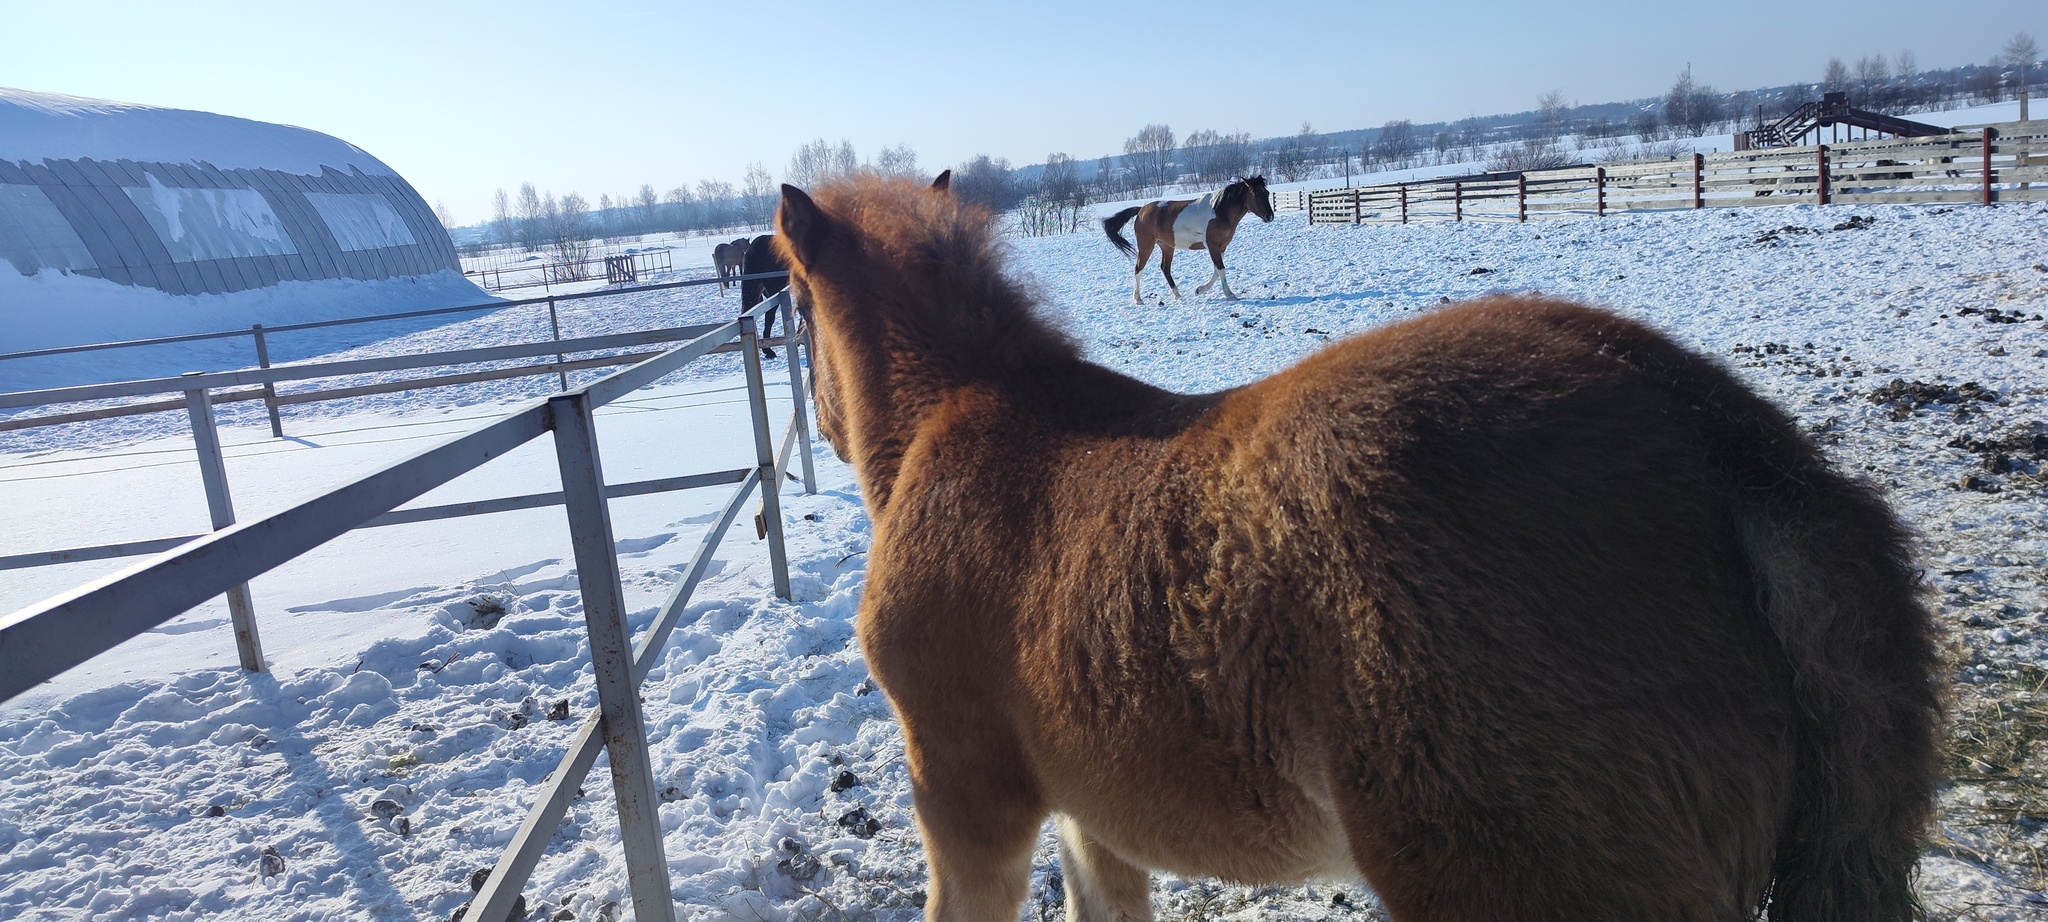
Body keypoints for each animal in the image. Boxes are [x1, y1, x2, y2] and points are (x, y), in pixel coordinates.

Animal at [1114, 175, 1269, 301]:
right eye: (1256, 193)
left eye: (1266, 193)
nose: (1270, 216)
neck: (1219, 212)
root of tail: (1141, 211)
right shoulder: (1212, 246)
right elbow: (1220, 269)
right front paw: (1229, 294)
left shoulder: (1221, 247)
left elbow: (1217, 270)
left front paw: (1200, 290)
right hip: (1146, 245)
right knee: (1139, 268)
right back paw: (1138, 299)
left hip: (1167, 246)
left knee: (1165, 268)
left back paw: (1178, 295)